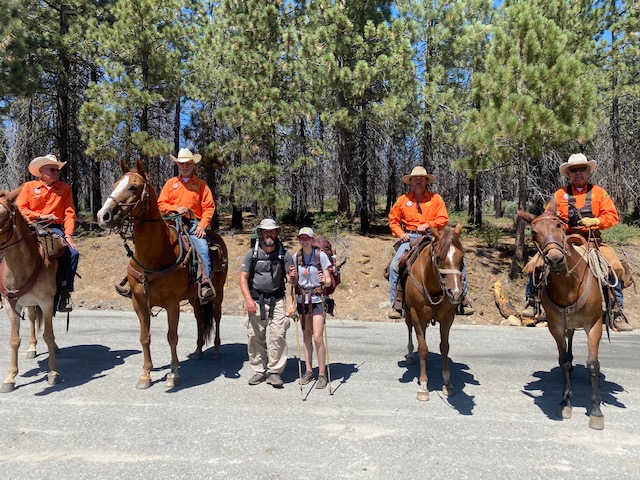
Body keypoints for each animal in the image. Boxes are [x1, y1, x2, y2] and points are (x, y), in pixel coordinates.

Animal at [0, 186, 60, 392]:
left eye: (2, 215)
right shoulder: (10, 305)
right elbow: (14, 339)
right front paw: (10, 377)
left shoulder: (46, 302)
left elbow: (48, 335)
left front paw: (53, 373)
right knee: (33, 318)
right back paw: (32, 348)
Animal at [99, 159, 229, 388]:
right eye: (115, 184)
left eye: (133, 187)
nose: (103, 215)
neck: (155, 256)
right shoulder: (139, 302)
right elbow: (145, 337)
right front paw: (145, 375)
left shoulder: (172, 303)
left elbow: (172, 337)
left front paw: (173, 374)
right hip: (194, 297)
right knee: (199, 318)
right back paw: (198, 350)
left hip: (218, 292)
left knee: (216, 315)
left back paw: (216, 350)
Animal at [402, 224, 462, 402]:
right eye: (440, 257)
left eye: (461, 257)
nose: (456, 293)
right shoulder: (416, 315)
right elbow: (422, 348)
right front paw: (423, 386)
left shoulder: (448, 318)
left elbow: (444, 347)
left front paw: (448, 384)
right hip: (409, 314)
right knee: (410, 331)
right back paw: (410, 355)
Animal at [520, 197, 604, 430]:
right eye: (534, 232)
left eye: (559, 225)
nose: (556, 259)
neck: (570, 285)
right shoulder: (556, 326)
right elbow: (563, 361)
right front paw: (565, 401)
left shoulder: (594, 324)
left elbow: (593, 364)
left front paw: (596, 410)